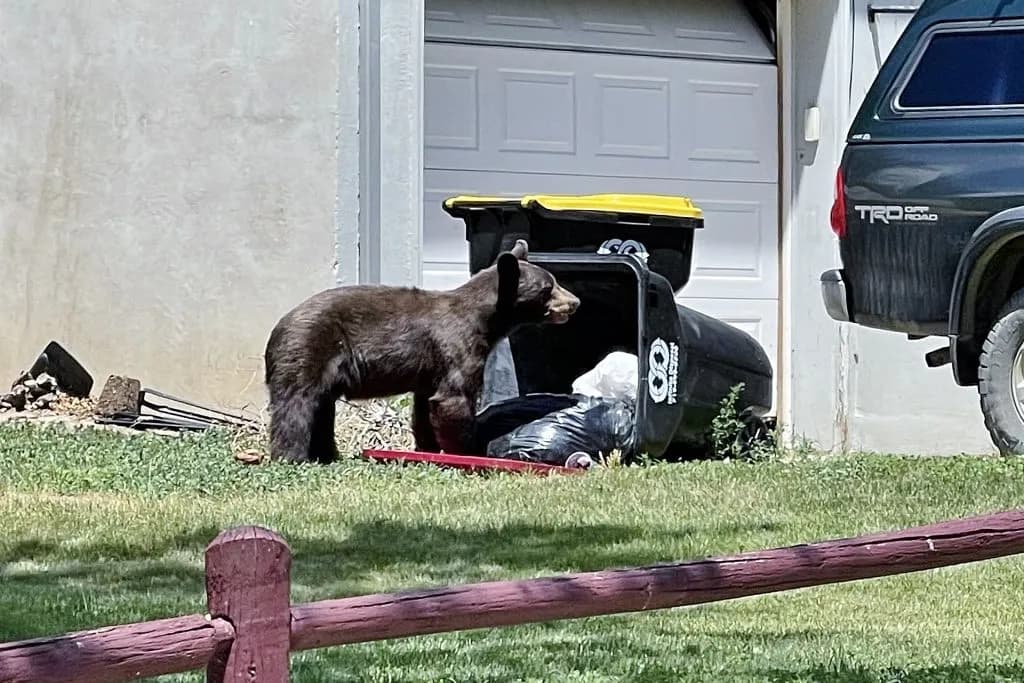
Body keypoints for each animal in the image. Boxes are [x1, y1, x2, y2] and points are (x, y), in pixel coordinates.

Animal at [263, 240, 580, 464]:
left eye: (553, 281)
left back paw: (326, 455)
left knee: (321, 408)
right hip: (308, 350)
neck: (485, 321)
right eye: (548, 288)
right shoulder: (457, 348)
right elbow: (454, 400)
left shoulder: (430, 369)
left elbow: (425, 407)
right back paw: (292, 457)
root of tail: (276, 330)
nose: (575, 302)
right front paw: (468, 452)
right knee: (297, 406)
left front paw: (428, 449)